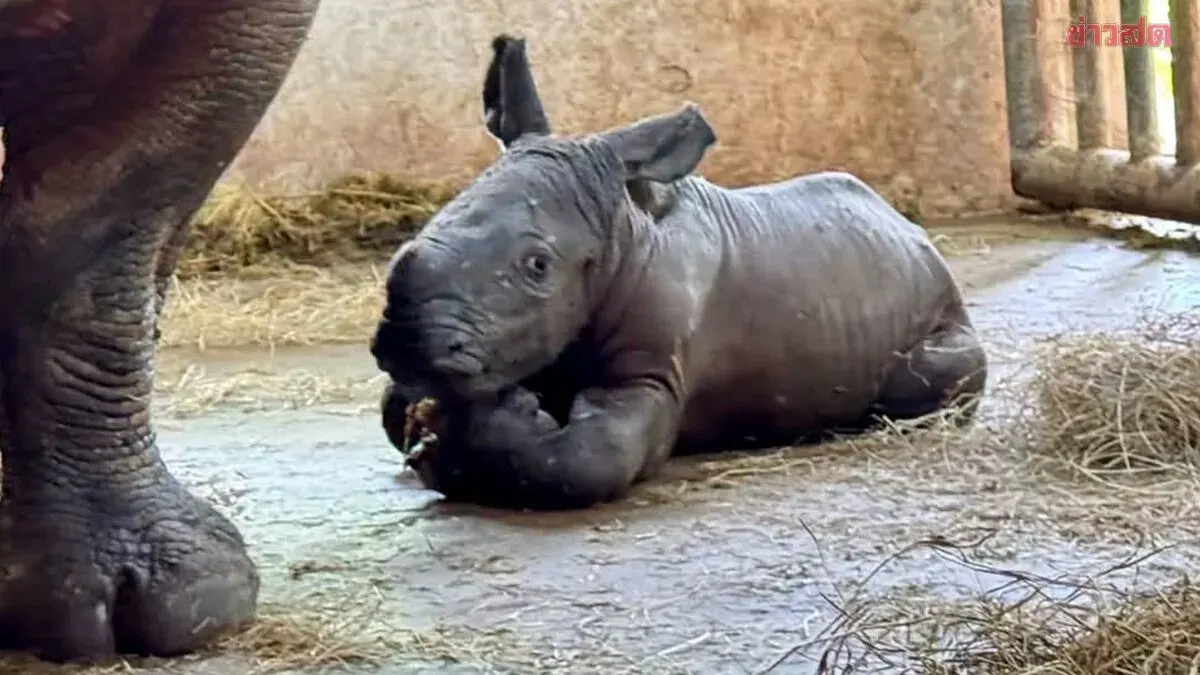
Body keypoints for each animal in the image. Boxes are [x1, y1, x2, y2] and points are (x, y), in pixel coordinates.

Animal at [370, 35, 988, 512]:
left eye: (538, 266)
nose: (405, 344)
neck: (621, 227)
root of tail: (912, 231)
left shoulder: (651, 371)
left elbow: (593, 459)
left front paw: (485, 426)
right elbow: (392, 411)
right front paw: (434, 430)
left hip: (942, 313)